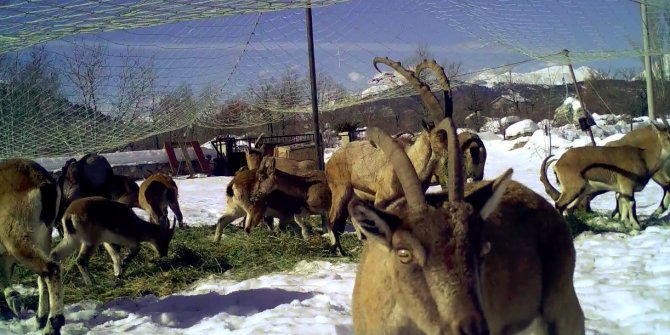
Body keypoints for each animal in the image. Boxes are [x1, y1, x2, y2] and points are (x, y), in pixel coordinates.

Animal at [0, 159, 63, 334]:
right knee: (42, 275)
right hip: (42, 236)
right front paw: (14, 300)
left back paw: (52, 324)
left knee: (51, 269)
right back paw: (40, 318)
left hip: (17, 237)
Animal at [326, 58, 456, 258]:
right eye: (439, 134)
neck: (412, 163)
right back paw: (338, 251)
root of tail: (330, 161)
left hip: (356, 194)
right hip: (340, 189)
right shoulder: (381, 199)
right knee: (332, 218)